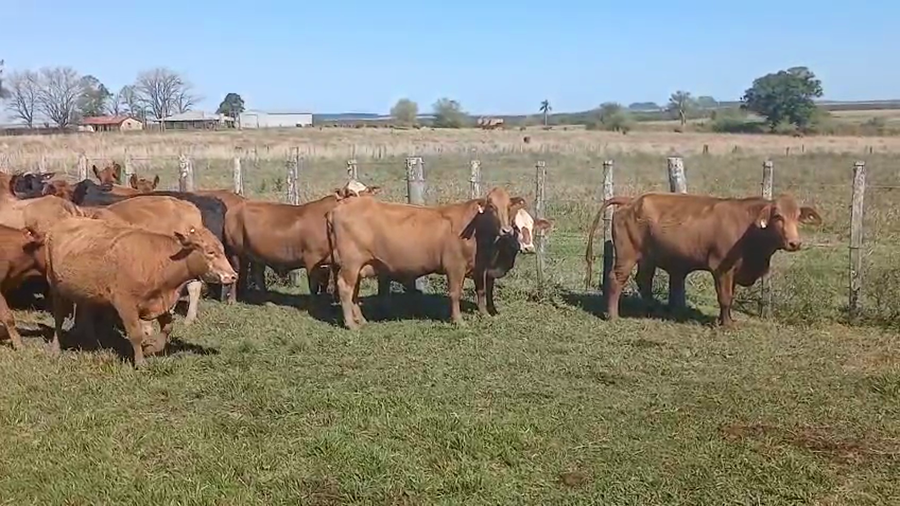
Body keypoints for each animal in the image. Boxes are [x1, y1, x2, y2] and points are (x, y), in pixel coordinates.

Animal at [41, 217, 237, 367]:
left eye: (222, 250)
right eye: (210, 252)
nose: (233, 276)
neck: (158, 261)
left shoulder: (160, 301)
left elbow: (167, 327)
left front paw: (151, 349)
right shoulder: (125, 304)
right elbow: (136, 334)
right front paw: (140, 362)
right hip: (56, 290)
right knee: (58, 319)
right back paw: (56, 349)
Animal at [325, 186, 531, 329]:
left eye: (508, 207)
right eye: (491, 207)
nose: (506, 230)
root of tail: (338, 208)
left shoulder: (480, 268)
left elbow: (481, 291)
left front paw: (485, 314)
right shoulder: (455, 266)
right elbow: (455, 293)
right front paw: (458, 321)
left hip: (358, 266)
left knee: (354, 291)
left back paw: (360, 320)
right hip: (350, 264)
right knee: (345, 288)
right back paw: (351, 324)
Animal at [584, 192, 822, 327]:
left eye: (797, 217)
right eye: (778, 217)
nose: (794, 243)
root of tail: (632, 200)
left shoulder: (734, 271)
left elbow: (730, 297)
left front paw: (728, 320)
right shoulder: (721, 268)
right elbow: (725, 298)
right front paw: (726, 325)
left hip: (648, 257)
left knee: (644, 280)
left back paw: (653, 310)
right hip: (626, 256)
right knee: (616, 279)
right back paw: (613, 316)